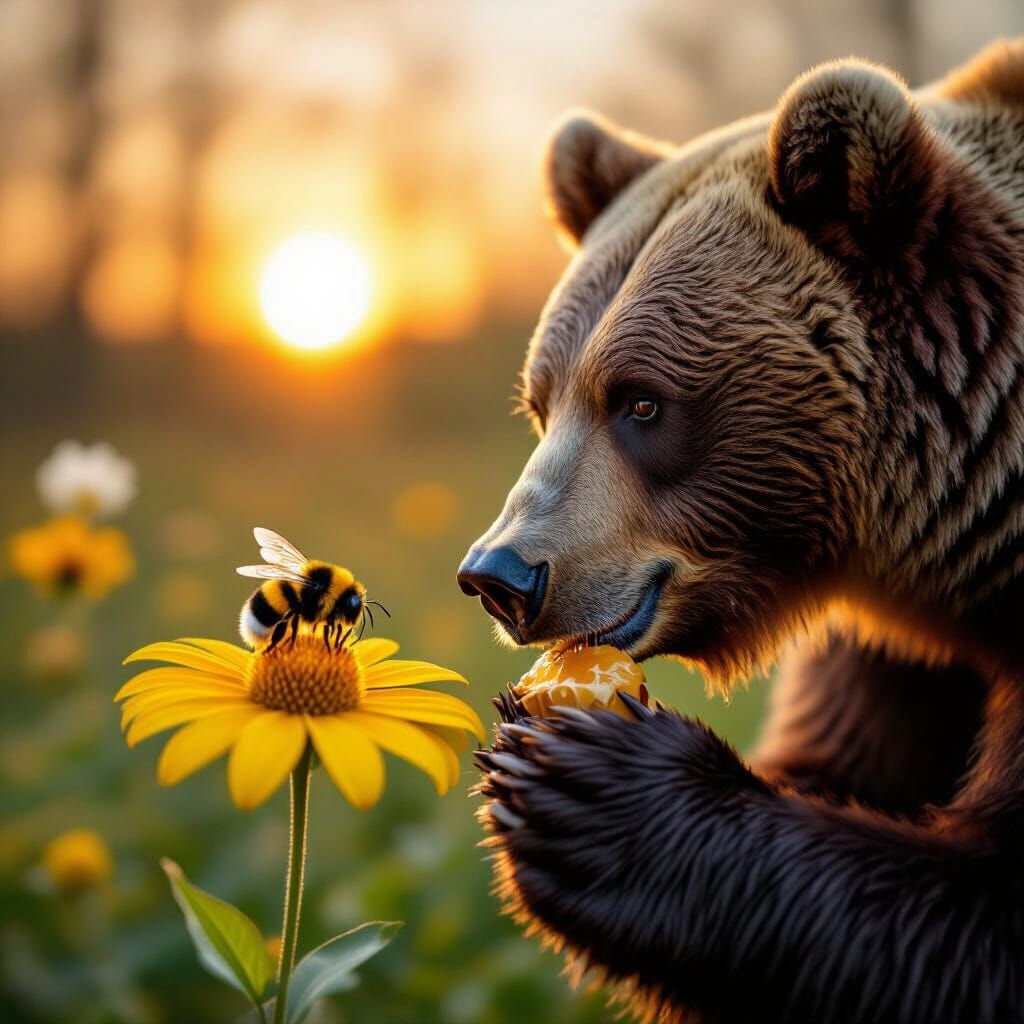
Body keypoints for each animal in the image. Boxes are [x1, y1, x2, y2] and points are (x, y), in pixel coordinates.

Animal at [458, 39, 1024, 1024]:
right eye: (541, 401)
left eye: (642, 401)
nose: (503, 575)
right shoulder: (902, 646)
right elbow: (840, 766)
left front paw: (585, 781)